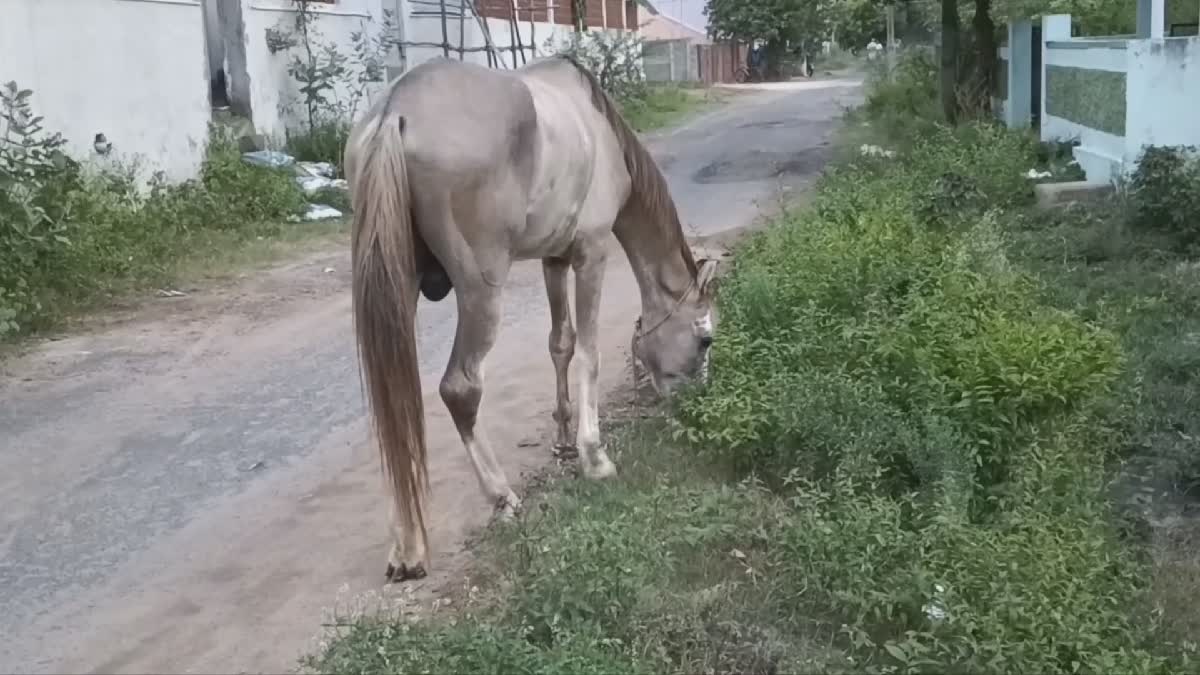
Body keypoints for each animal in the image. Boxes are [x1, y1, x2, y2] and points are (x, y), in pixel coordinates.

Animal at [343, 55, 715, 578]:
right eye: (705, 340)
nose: (696, 405)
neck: (596, 127)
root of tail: (395, 112)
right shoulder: (591, 254)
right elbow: (589, 354)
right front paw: (594, 457)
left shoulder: (554, 259)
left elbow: (561, 343)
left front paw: (562, 438)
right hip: (481, 293)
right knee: (460, 389)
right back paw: (500, 497)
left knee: (394, 404)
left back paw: (409, 544)